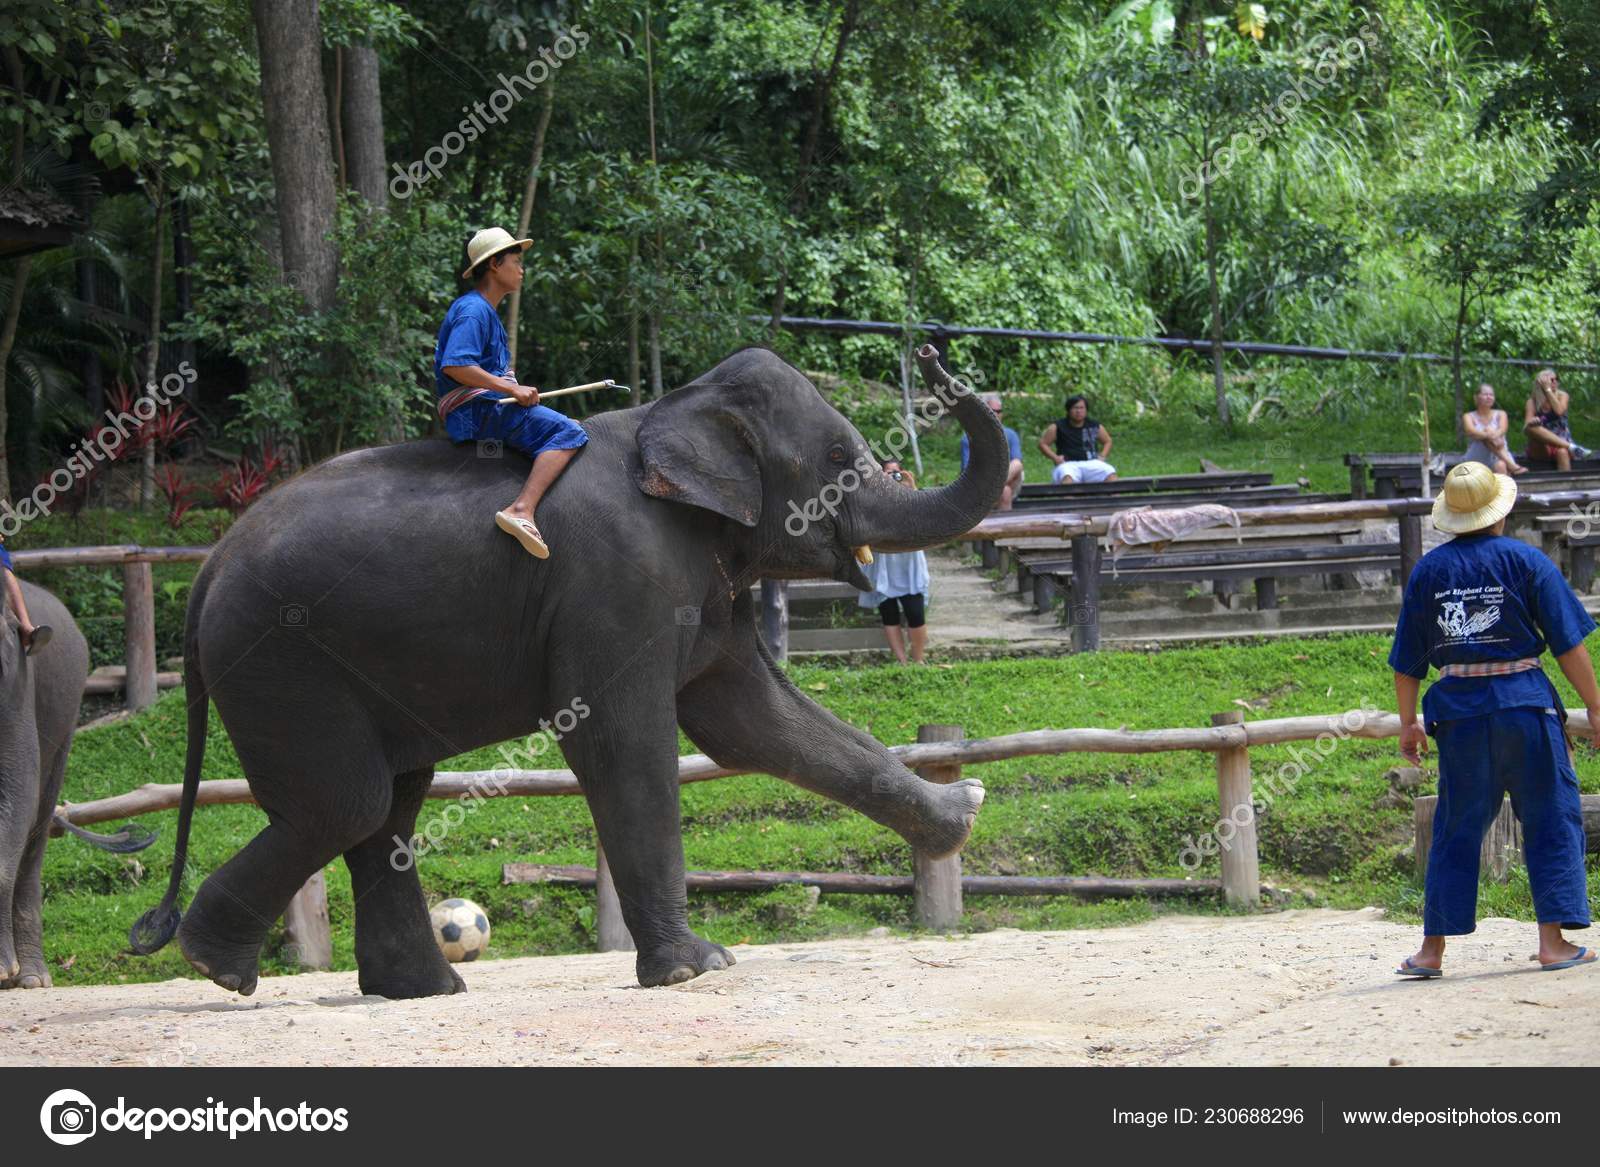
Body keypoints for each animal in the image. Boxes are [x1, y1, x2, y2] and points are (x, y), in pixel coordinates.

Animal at [131, 345, 1008, 998]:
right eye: (836, 456)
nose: (928, 351)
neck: (672, 409)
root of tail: (206, 570)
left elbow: (752, 721)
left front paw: (963, 809)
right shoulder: (617, 582)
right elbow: (626, 741)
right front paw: (696, 967)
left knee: (385, 807)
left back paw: (419, 988)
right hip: (281, 660)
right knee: (349, 803)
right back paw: (217, 966)